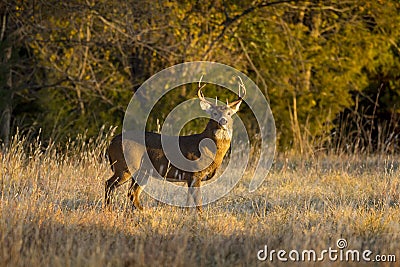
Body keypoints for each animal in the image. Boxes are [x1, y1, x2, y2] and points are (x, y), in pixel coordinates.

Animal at [104, 76, 245, 213]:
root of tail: (112, 142)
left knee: (132, 193)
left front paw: (187, 215)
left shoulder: (189, 178)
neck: (207, 149)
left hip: (141, 171)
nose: (223, 121)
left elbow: (188, 202)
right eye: (214, 113)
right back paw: (109, 210)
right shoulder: (194, 173)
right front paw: (202, 218)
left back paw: (143, 212)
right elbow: (198, 202)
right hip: (125, 165)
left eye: (229, 113)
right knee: (109, 184)